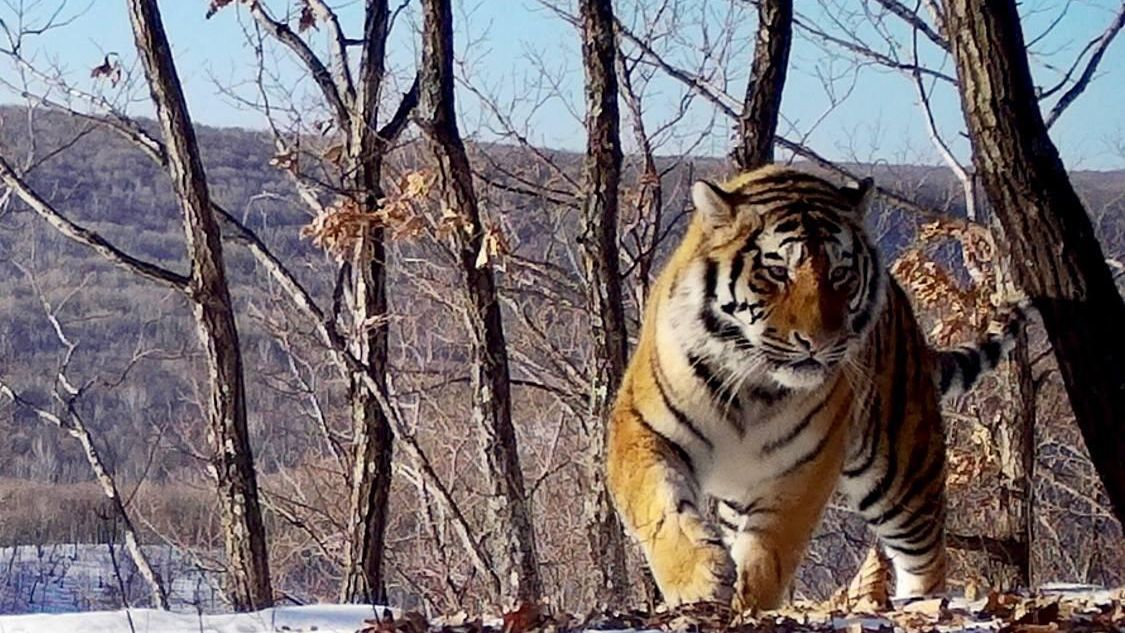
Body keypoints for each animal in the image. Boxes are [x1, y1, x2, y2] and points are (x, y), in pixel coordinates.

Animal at [605, 165, 1025, 611]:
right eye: (776, 272)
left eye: (841, 274)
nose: (820, 342)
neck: (752, 385)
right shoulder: (643, 428)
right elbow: (660, 507)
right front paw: (698, 580)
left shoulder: (804, 464)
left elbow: (770, 549)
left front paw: (749, 602)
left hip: (903, 479)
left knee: (925, 560)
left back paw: (920, 607)